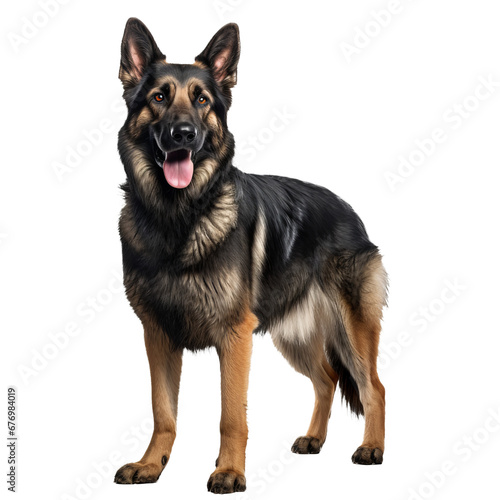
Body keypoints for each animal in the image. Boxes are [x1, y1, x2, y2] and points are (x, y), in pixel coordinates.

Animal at [115, 17, 388, 494]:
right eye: (159, 98)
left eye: (202, 100)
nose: (183, 134)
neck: (179, 217)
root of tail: (351, 213)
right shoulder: (158, 335)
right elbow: (163, 412)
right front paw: (151, 465)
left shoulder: (234, 336)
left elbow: (231, 415)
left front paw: (229, 471)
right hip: (293, 337)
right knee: (327, 379)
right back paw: (315, 439)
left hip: (353, 330)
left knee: (373, 386)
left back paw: (371, 448)